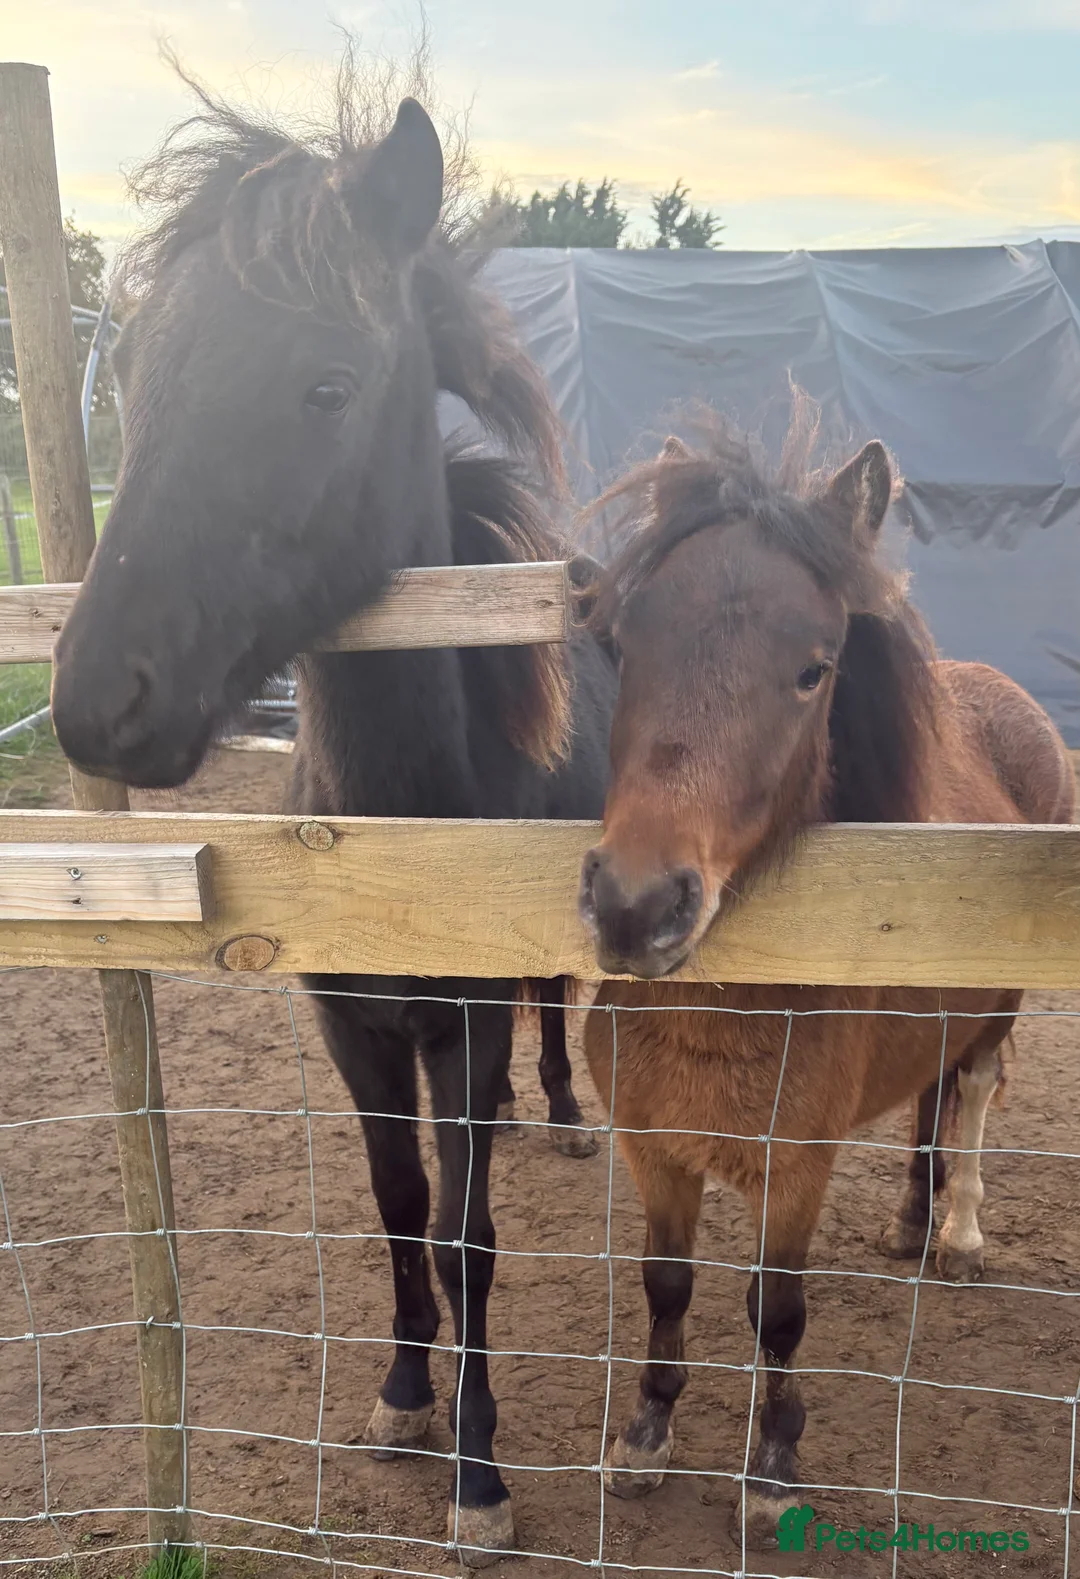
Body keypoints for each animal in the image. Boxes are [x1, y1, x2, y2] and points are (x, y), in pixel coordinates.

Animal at [49, 71, 617, 1562]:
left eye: (326, 385)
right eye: (138, 378)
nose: (97, 701)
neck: (393, 830)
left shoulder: (458, 1027)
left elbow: (470, 1232)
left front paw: (479, 1471)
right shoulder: (351, 1028)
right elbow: (400, 1202)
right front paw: (405, 1389)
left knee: (555, 1008)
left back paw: (564, 1107)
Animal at [574, 413, 1075, 1548]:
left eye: (814, 669)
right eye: (622, 646)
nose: (634, 905)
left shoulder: (793, 1168)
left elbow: (777, 1308)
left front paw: (771, 1467)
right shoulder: (653, 1147)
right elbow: (667, 1283)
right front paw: (646, 1435)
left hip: (1000, 1000)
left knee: (975, 1089)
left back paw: (960, 1231)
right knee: (932, 1096)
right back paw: (910, 1219)